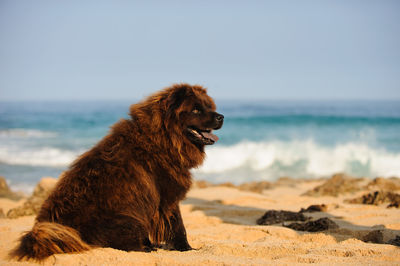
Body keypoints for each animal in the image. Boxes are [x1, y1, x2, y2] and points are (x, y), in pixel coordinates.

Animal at [10, 83, 223, 260]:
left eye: (209, 107)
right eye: (196, 109)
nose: (220, 116)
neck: (162, 139)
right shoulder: (167, 197)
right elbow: (178, 227)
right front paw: (187, 249)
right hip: (128, 219)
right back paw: (147, 247)